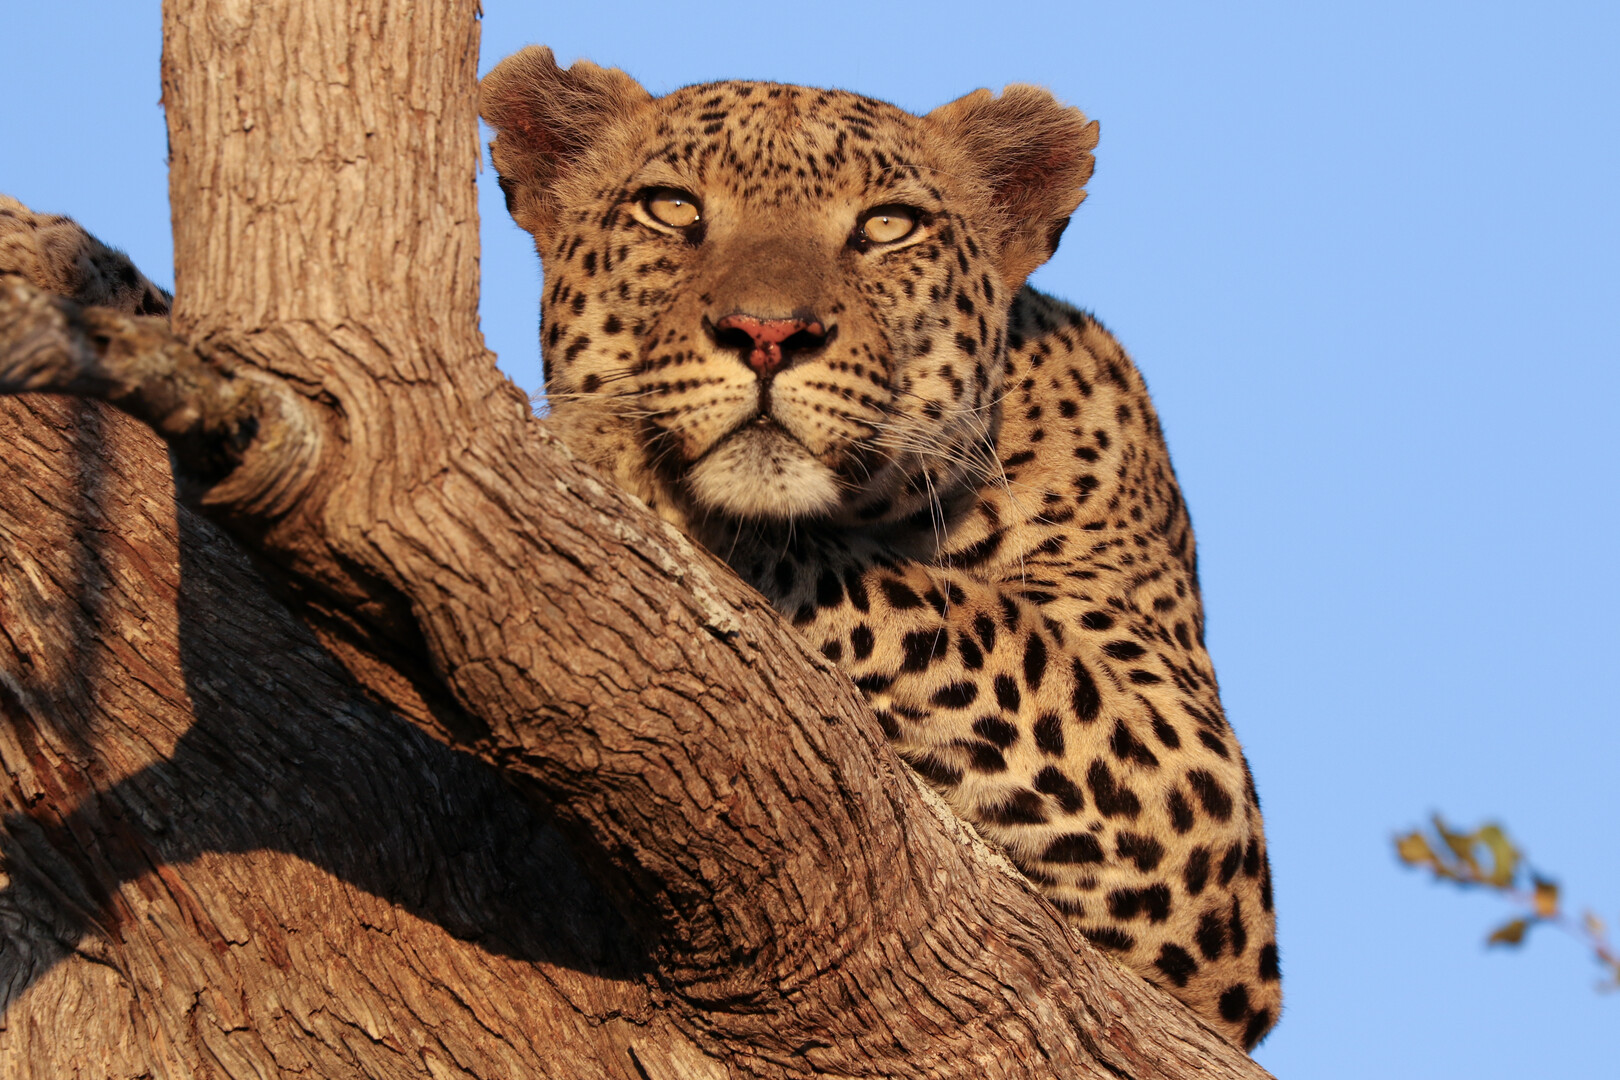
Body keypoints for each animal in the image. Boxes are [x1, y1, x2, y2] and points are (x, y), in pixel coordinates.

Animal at [481, 47, 1281, 1050]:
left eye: (887, 226)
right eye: (671, 208)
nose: (768, 335)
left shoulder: (1193, 784)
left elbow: (956, 618)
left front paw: (614, 448)